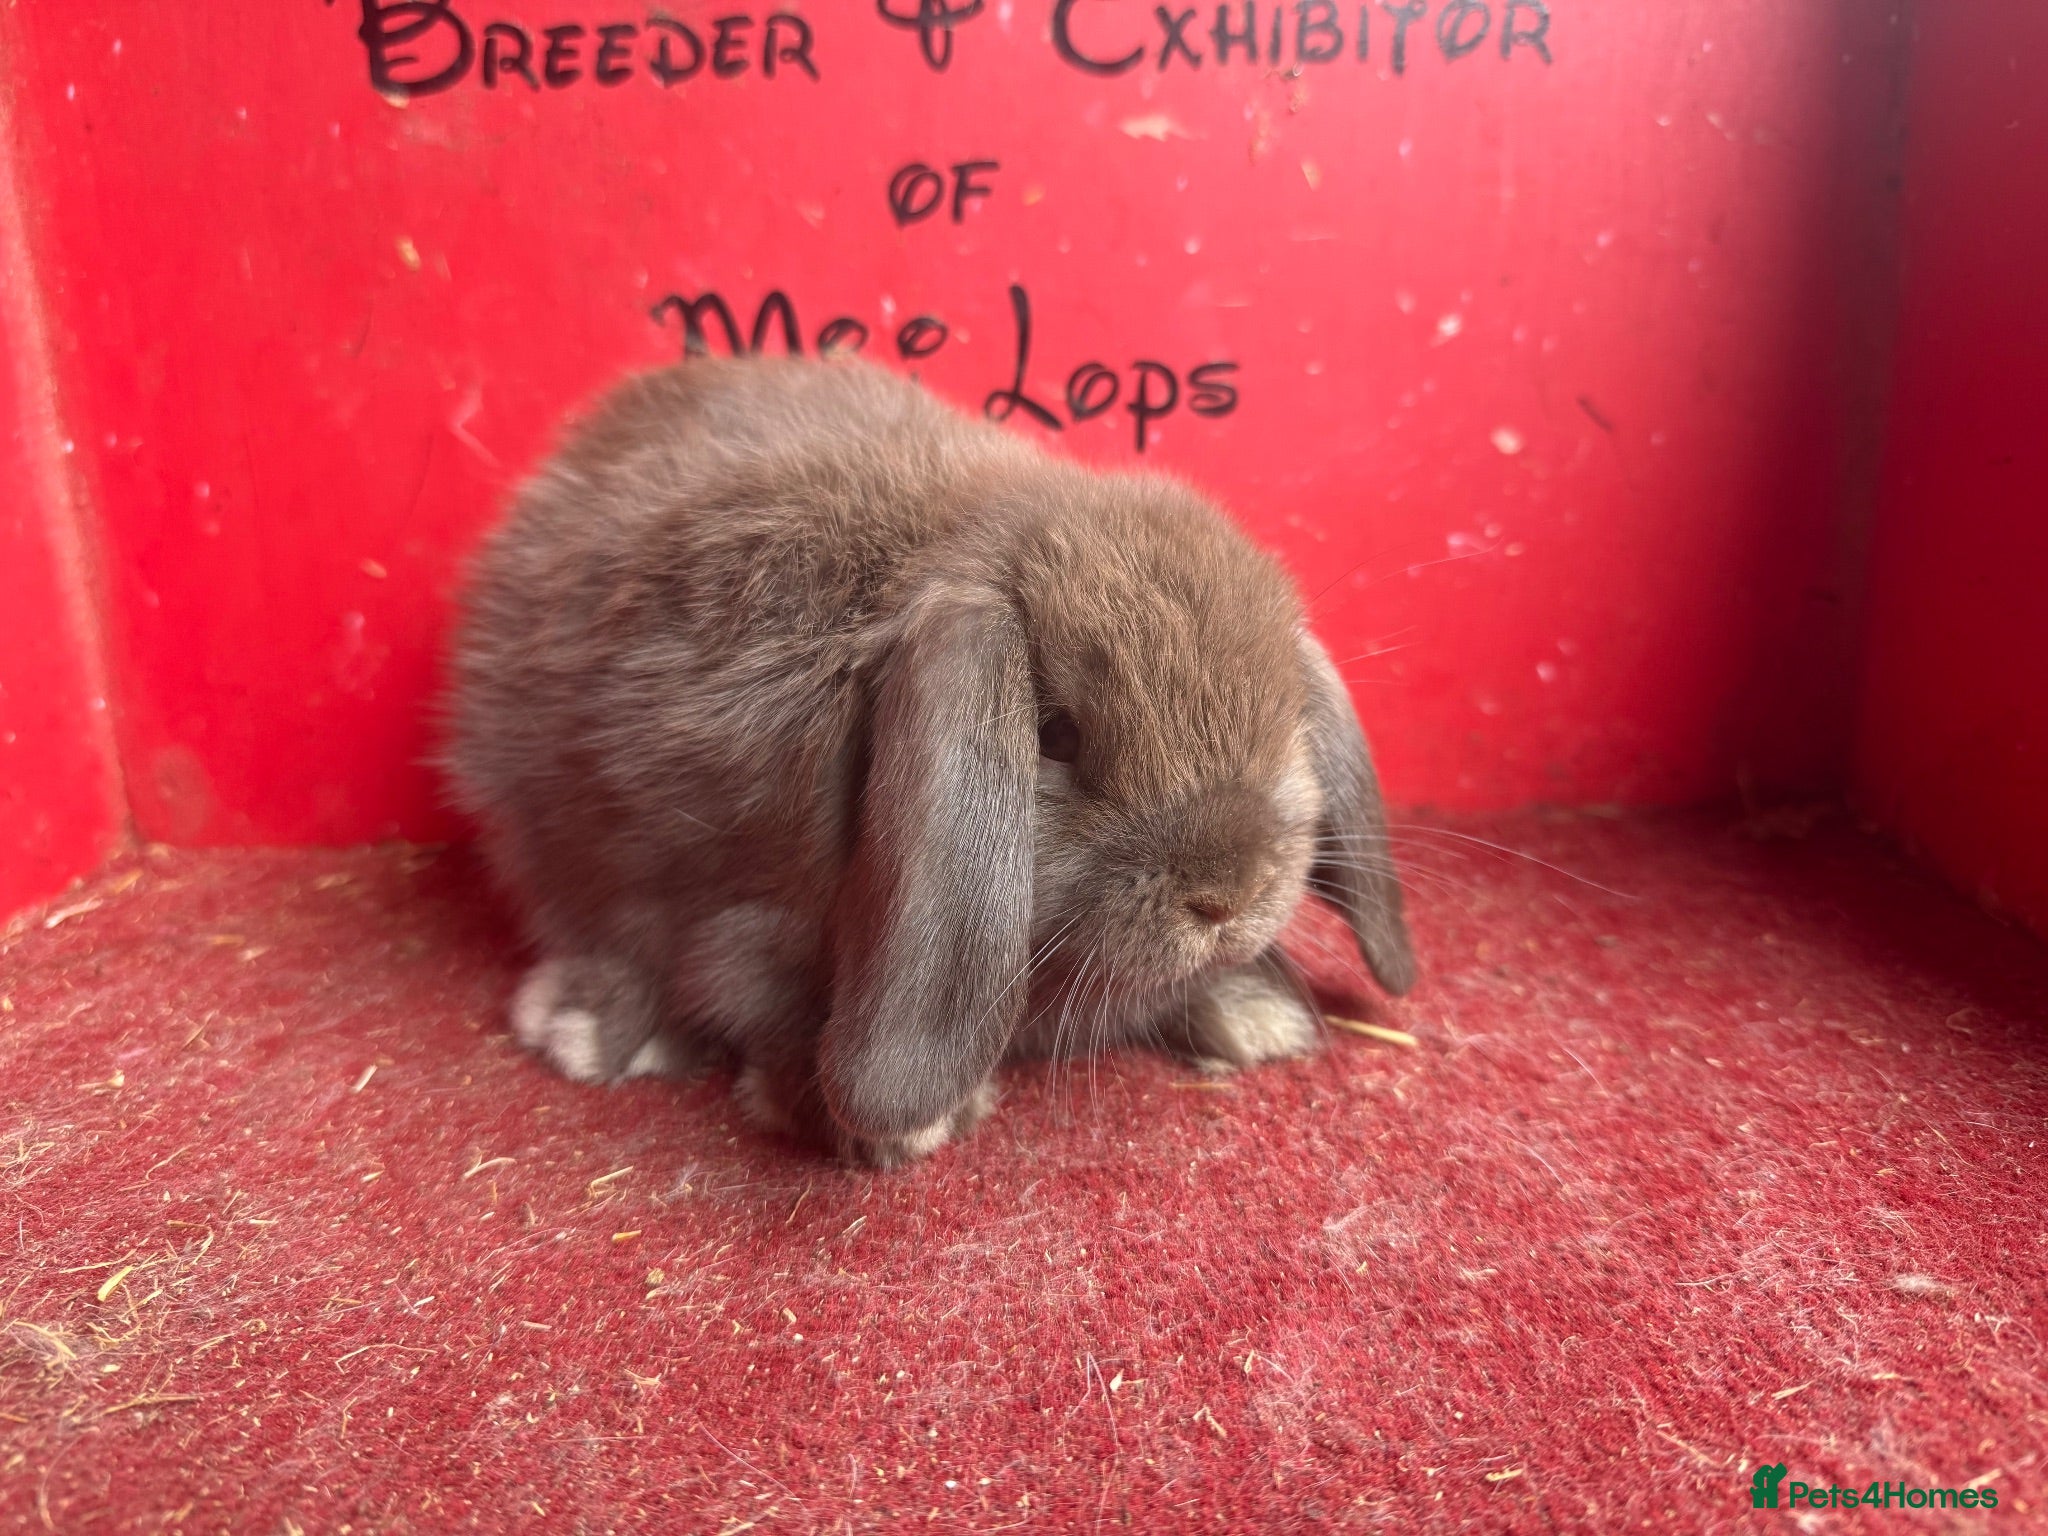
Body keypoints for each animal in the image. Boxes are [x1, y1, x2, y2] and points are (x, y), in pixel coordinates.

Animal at [443, 355, 1414, 1166]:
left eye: (1288, 719)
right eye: (1056, 735)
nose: (1228, 896)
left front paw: (1258, 1014)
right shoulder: (743, 927)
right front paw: (895, 1132)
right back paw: (589, 1027)